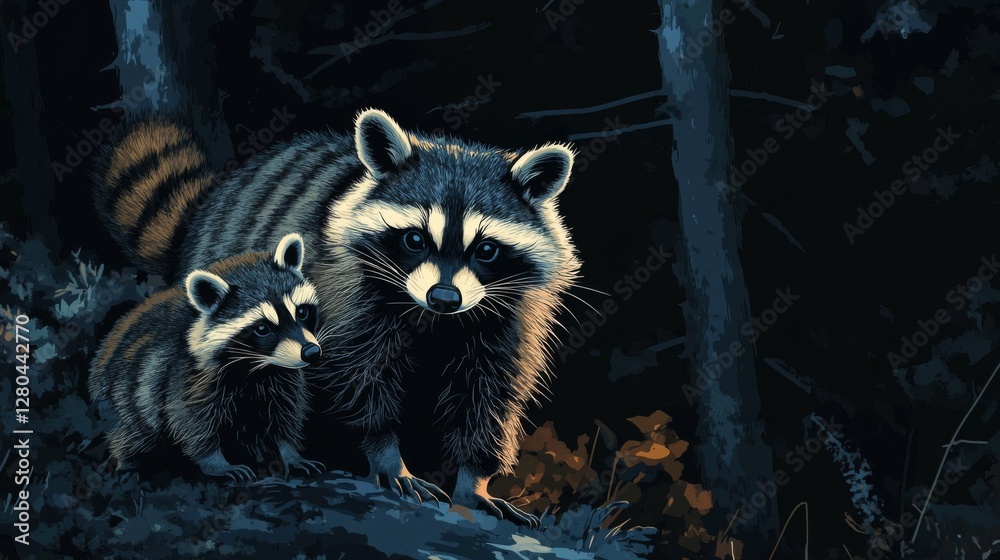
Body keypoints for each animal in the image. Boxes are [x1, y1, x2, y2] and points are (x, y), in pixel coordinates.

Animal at [88, 233, 325, 482]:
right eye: (262, 328)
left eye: (301, 312)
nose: (311, 352)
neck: (257, 367)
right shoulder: (184, 371)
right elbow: (190, 420)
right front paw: (216, 463)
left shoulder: (281, 377)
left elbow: (284, 414)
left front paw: (289, 452)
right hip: (126, 396)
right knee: (134, 432)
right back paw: (126, 460)